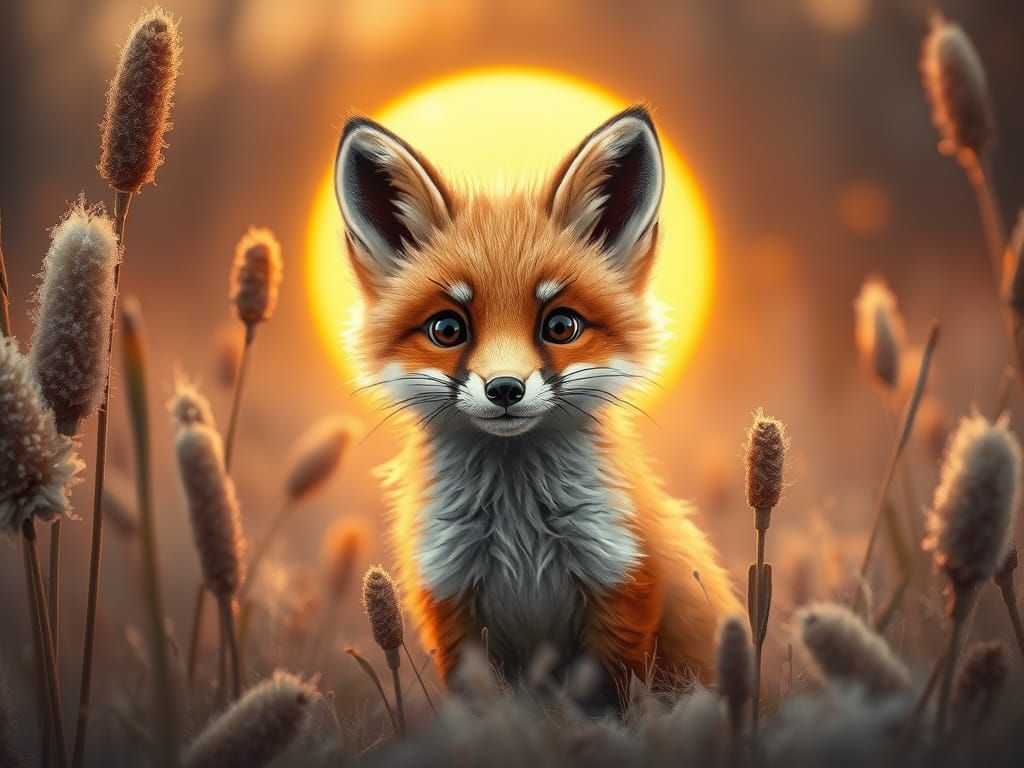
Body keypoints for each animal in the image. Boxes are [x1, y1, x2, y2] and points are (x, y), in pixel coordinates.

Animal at [334, 105, 742, 696]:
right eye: (446, 329)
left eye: (561, 325)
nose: (505, 389)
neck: (519, 533)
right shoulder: (451, 605)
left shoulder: (622, 584)